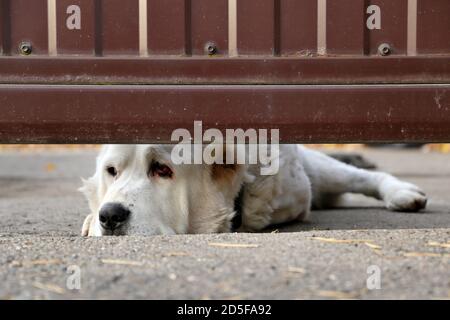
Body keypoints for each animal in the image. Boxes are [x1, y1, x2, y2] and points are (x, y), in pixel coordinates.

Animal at [80, 144, 426, 235]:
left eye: (162, 170)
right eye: (112, 171)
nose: (109, 216)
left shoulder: (299, 184)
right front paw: (90, 219)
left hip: (322, 171)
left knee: (365, 178)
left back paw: (401, 194)